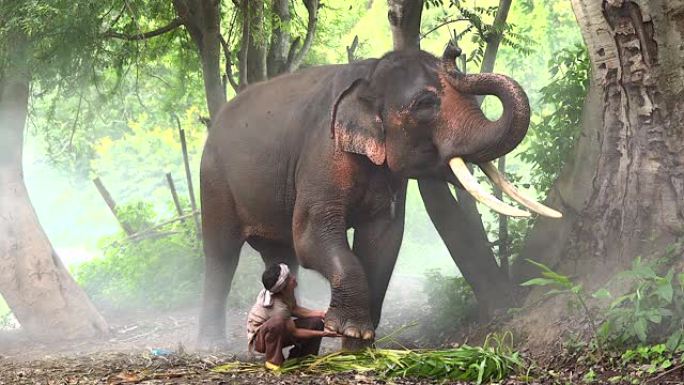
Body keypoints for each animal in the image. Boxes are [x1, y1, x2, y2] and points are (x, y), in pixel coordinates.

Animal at [198, 45, 560, 348]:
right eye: (425, 104)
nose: (454, 51)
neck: (371, 74)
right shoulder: (322, 153)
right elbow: (311, 236)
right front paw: (348, 330)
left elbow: (383, 240)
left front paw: (358, 347)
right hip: (213, 181)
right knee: (222, 256)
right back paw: (211, 344)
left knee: (281, 255)